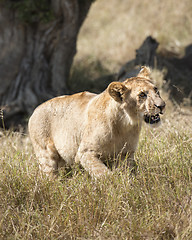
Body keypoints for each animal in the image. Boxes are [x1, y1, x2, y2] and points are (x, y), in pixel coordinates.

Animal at [28, 66, 165, 177]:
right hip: (46, 155)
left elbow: (125, 174)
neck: (125, 125)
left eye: (156, 90)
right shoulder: (84, 153)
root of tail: (34, 111)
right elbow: (104, 174)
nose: (162, 106)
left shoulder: (126, 154)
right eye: (142, 95)